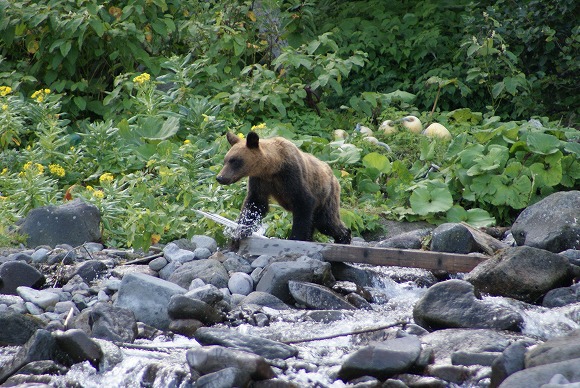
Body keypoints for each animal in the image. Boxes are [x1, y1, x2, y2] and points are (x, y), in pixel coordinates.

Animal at [216, 132, 352, 244]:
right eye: (226, 160)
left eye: (235, 161)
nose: (220, 177)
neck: (273, 167)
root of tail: (334, 176)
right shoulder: (260, 181)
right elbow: (255, 204)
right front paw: (240, 231)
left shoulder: (291, 176)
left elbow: (303, 202)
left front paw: (295, 237)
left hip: (326, 194)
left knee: (326, 221)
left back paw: (344, 237)